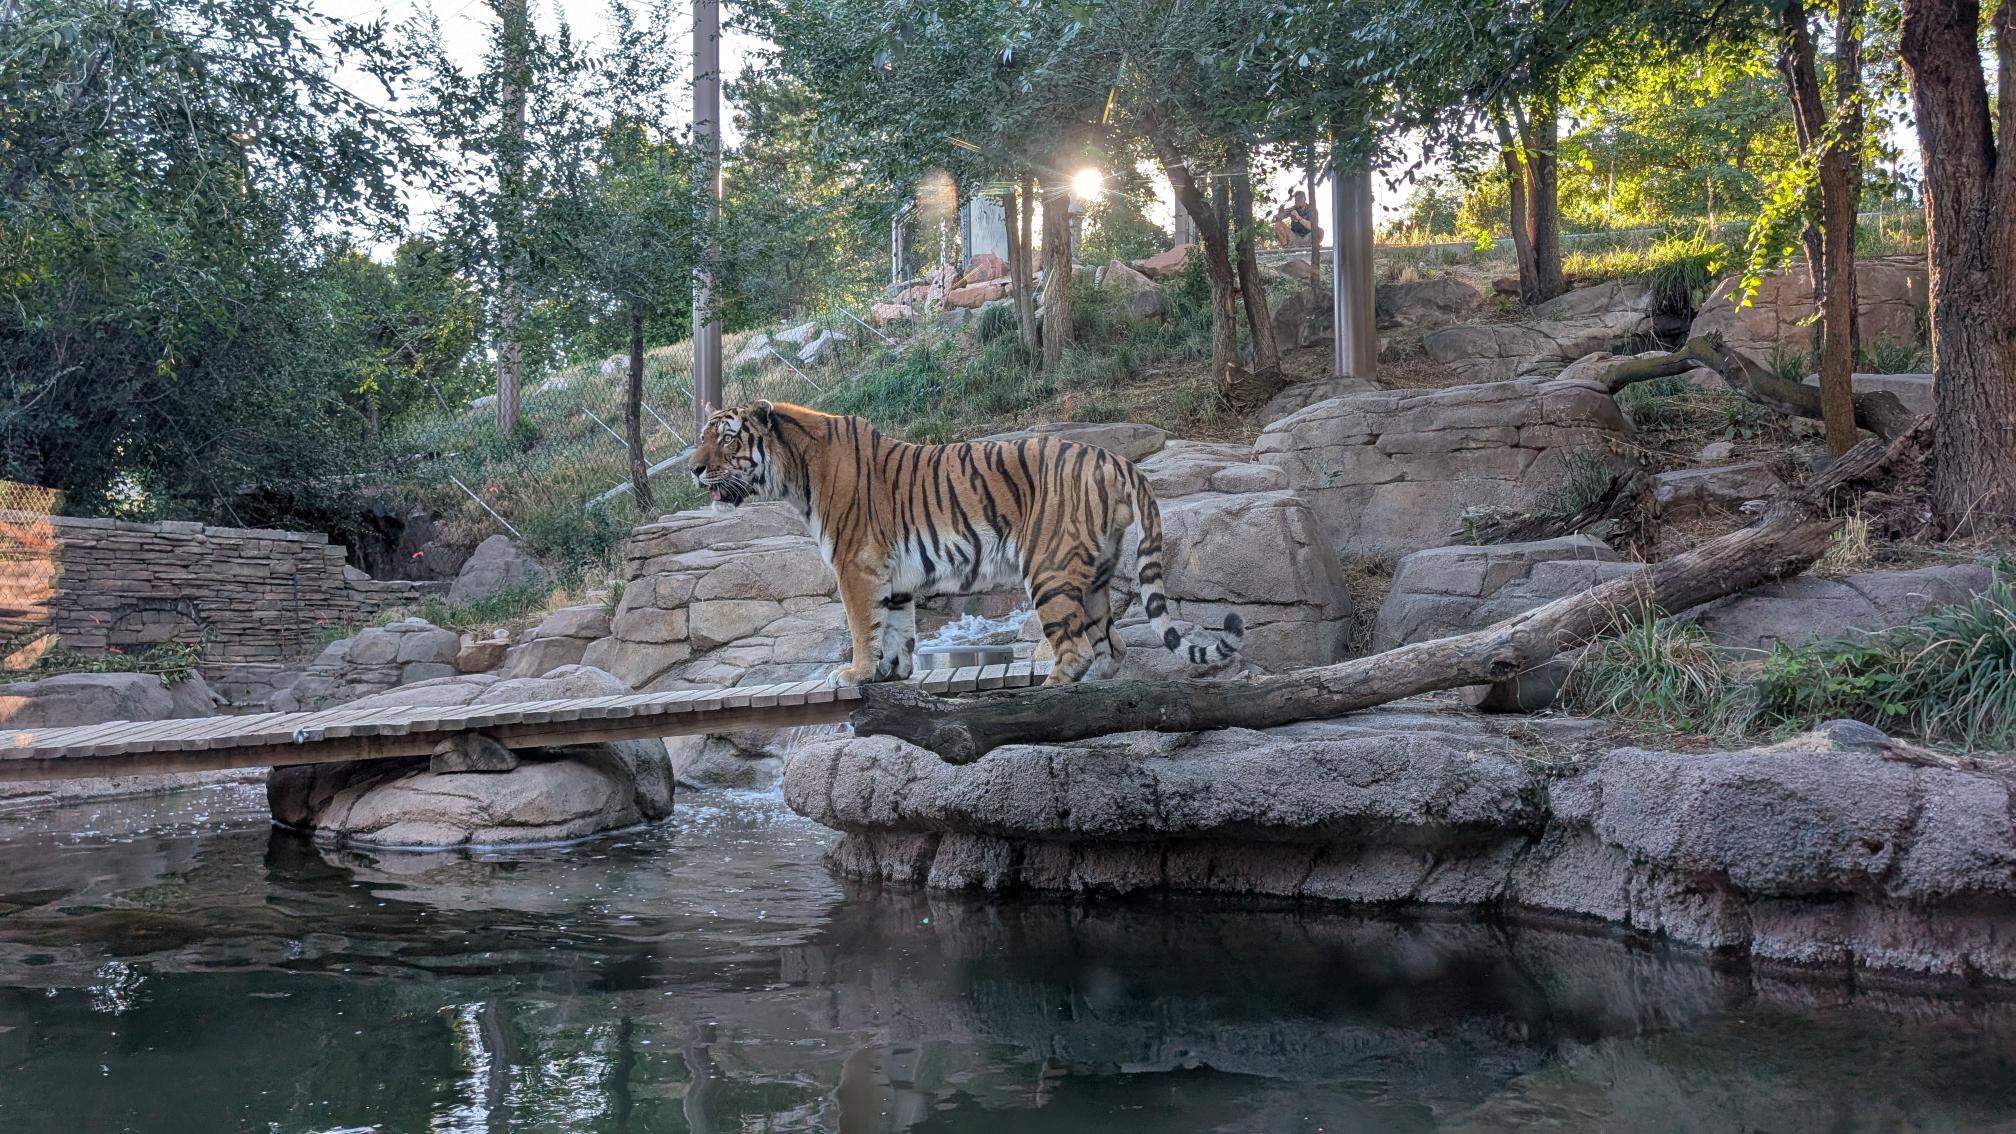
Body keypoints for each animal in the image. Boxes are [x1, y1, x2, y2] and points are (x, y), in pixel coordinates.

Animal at [687, 400, 1243, 687]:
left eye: (728, 438)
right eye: (703, 436)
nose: (692, 468)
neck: (795, 474)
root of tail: (1115, 458)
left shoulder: (855, 566)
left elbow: (862, 626)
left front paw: (855, 673)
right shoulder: (894, 579)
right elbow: (897, 629)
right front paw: (890, 672)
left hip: (1048, 566)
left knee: (1077, 645)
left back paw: (1050, 688)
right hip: (1097, 573)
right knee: (1113, 642)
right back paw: (1100, 682)